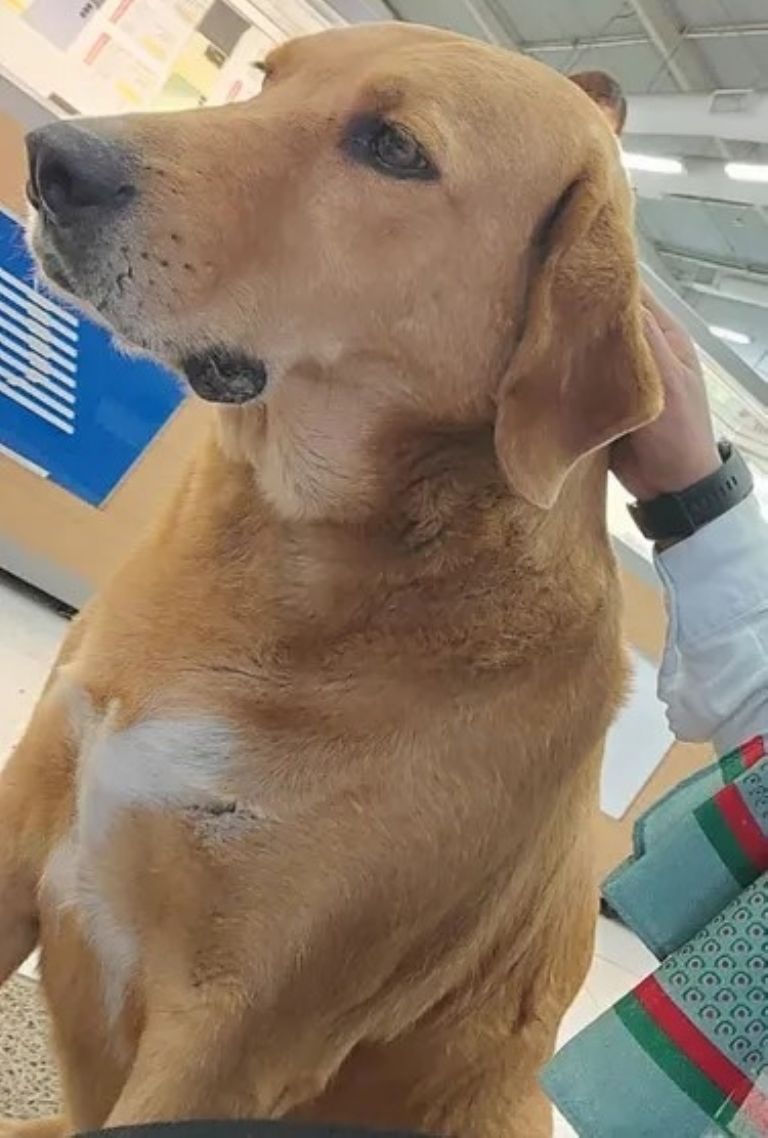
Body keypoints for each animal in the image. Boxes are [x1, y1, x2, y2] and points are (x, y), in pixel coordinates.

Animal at [0, 22, 660, 1138]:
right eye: (269, 78)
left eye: (394, 148)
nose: (52, 162)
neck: (284, 549)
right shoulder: (18, 830)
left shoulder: (232, 1038)